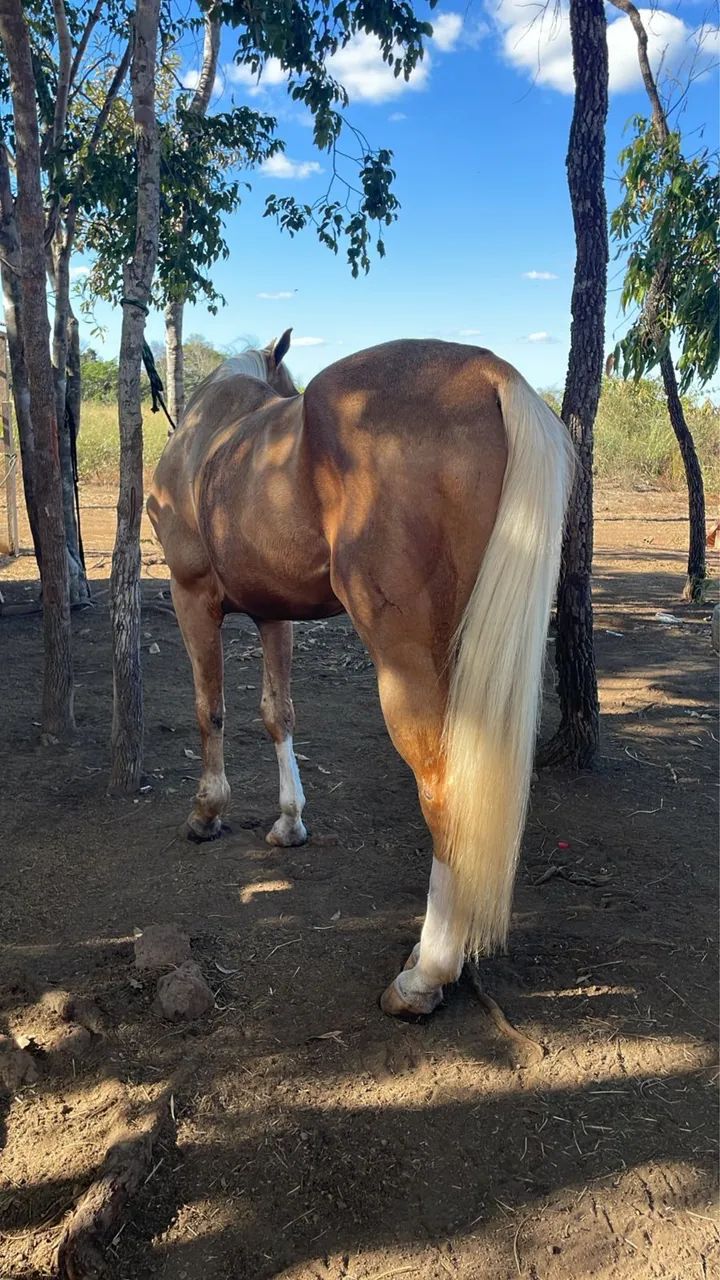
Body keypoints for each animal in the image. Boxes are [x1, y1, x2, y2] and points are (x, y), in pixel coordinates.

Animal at [147, 331, 574, 1017]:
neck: (210, 437)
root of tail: (489, 374)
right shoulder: (274, 613)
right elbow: (277, 714)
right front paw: (289, 821)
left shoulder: (191, 597)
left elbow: (209, 709)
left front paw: (207, 812)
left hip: (406, 665)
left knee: (444, 789)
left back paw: (425, 974)